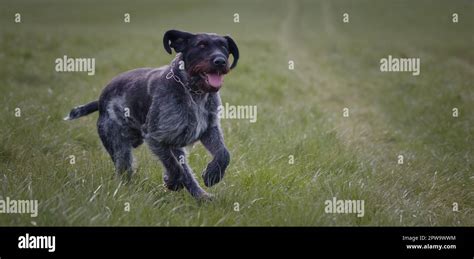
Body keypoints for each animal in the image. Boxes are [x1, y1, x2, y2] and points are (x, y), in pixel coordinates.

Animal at [65, 29, 239, 199]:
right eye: (201, 45)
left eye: (224, 47)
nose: (220, 61)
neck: (193, 92)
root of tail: (101, 100)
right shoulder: (155, 138)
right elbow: (173, 166)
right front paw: (173, 181)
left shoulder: (209, 130)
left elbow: (223, 154)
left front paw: (213, 175)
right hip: (119, 147)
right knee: (126, 171)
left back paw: (202, 196)